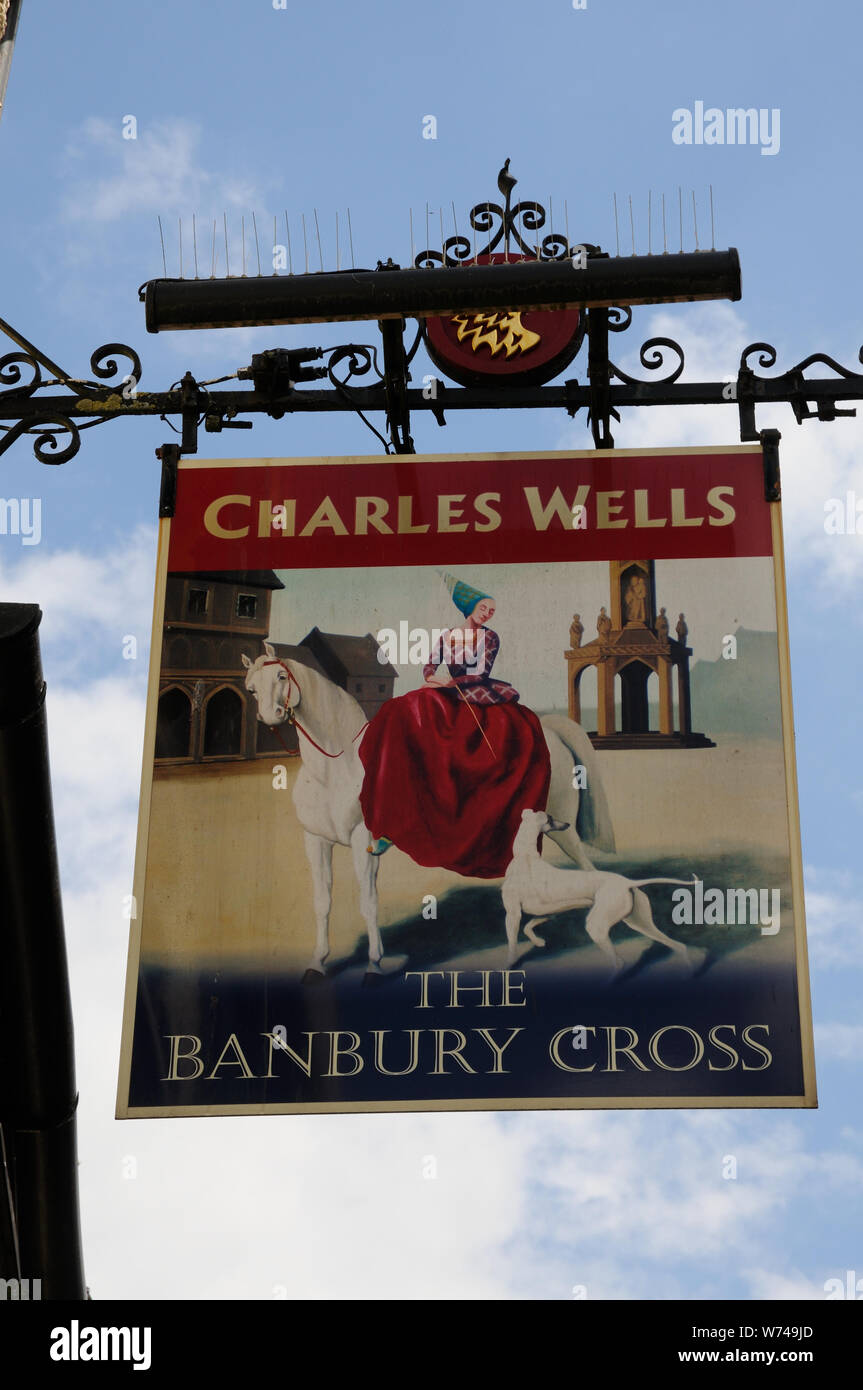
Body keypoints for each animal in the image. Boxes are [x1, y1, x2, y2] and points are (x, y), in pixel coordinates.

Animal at [241, 642, 611, 978]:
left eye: (281, 676)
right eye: (252, 687)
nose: (269, 716)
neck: (335, 768)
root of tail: (552, 730)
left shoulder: (364, 841)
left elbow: (368, 902)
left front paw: (374, 964)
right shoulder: (315, 840)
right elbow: (322, 902)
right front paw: (318, 962)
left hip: (562, 828)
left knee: (587, 869)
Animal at [500, 811, 697, 973]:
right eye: (551, 818)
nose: (567, 824)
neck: (525, 856)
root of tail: (627, 882)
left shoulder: (513, 914)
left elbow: (513, 944)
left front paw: (509, 965)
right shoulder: (548, 912)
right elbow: (528, 927)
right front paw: (539, 942)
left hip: (597, 925)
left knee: (619, 963)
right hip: (639, 922)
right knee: (679, 946)